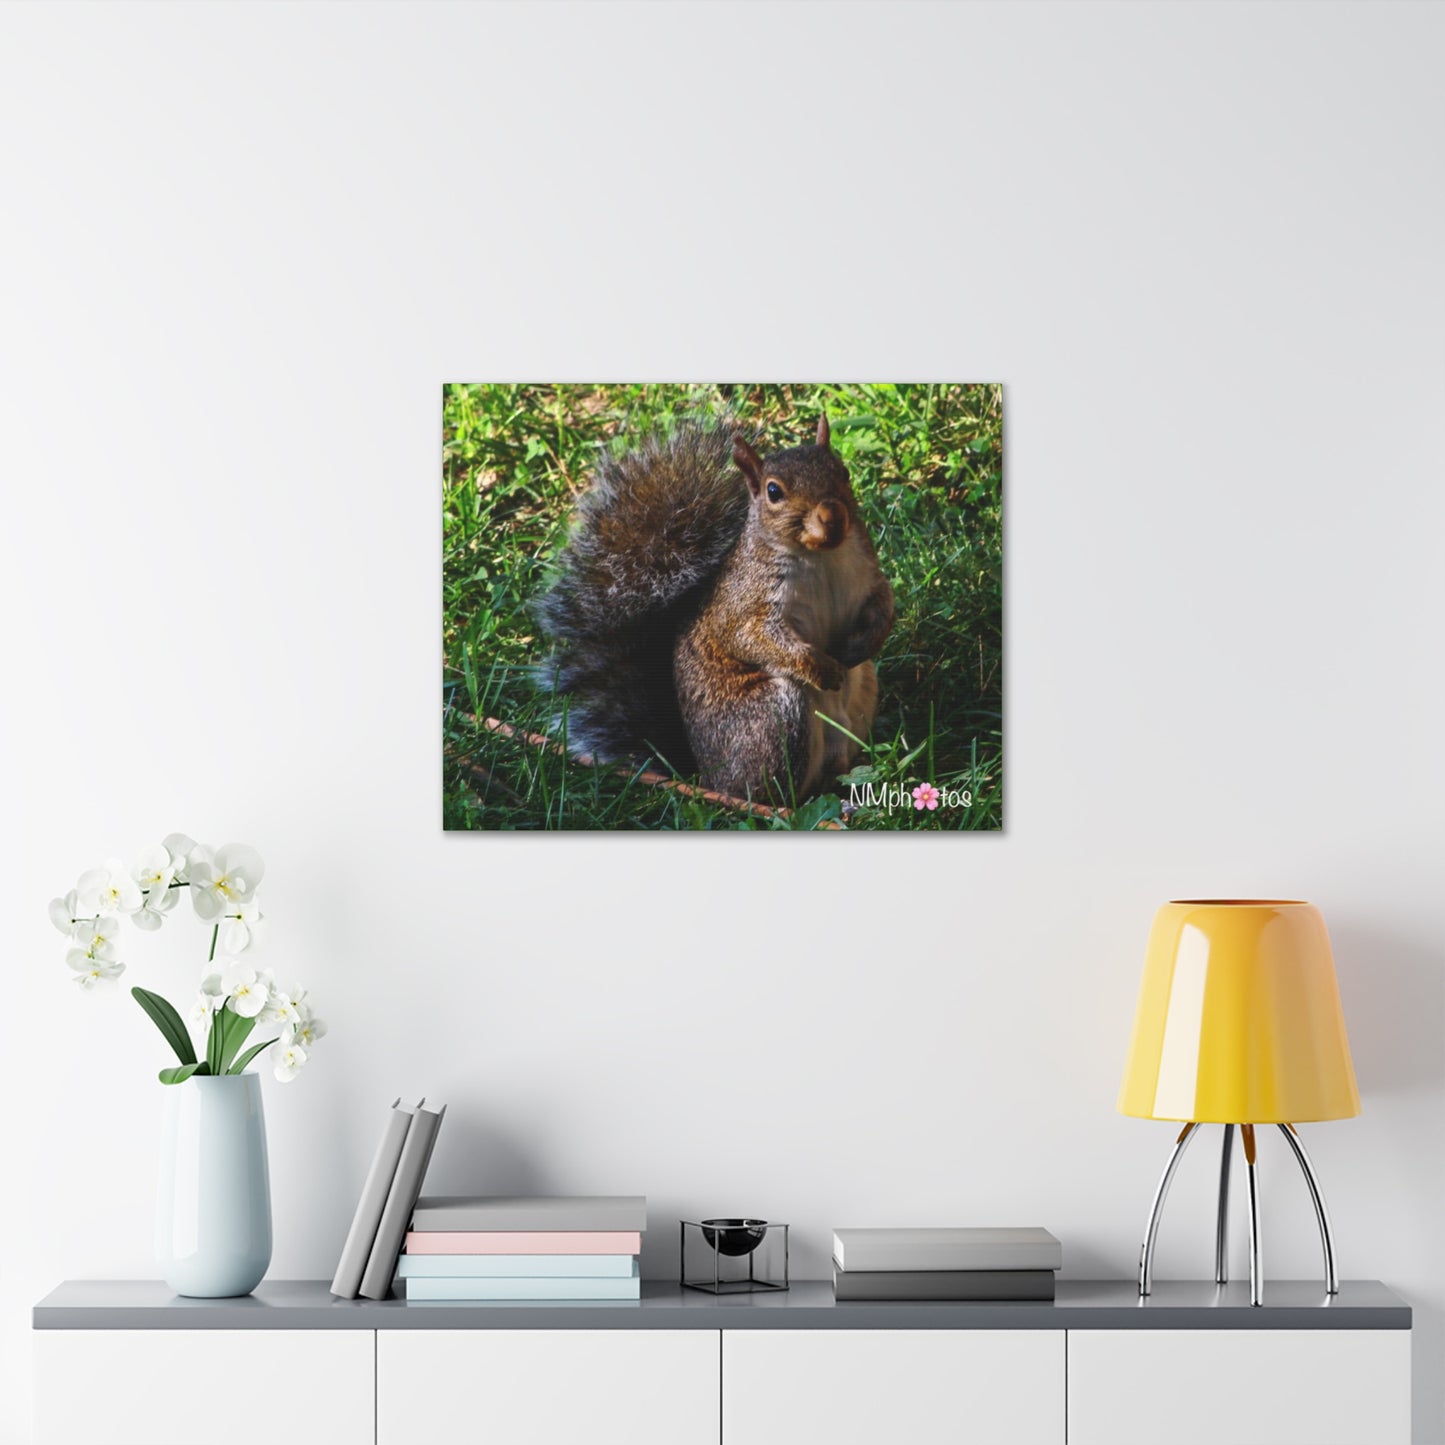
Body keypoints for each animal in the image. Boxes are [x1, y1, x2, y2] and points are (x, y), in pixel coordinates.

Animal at [534, 414, 895, 803]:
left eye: (843, 471)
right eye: (773, 492)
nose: (832, 515)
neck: (821, 556)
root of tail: (706, 778)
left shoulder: (867, 575)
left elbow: (884, 604)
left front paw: (864, 643)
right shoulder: (744, 604)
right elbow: (751, 639)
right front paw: (821, 668)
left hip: (862, 692)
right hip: (772, 716)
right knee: (772, 793)